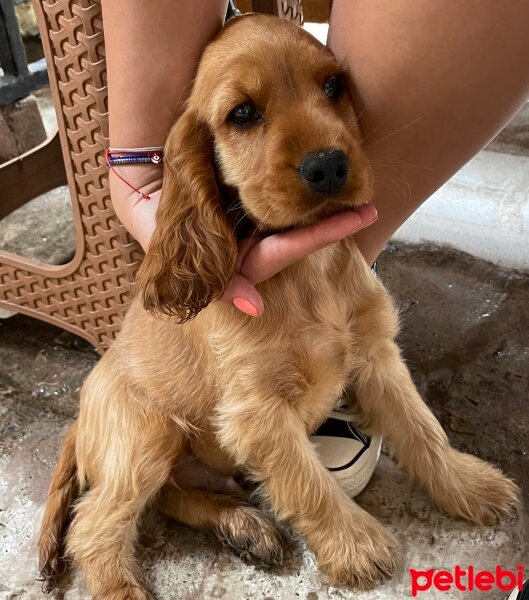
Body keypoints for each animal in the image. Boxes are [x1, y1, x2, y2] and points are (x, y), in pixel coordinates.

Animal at [39, 14, 516, 600]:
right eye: (243, 114)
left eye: (332, 86)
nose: (328, 165)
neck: (309, 272)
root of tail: (80, 417)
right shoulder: (257, 410)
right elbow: (307, 482)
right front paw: (356, 547)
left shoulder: (376, 357)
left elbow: (422, 427)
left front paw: (468, 485)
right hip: (146, 434)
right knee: (94, 524)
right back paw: (125, 585)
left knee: (171, 497)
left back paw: (245, 526)